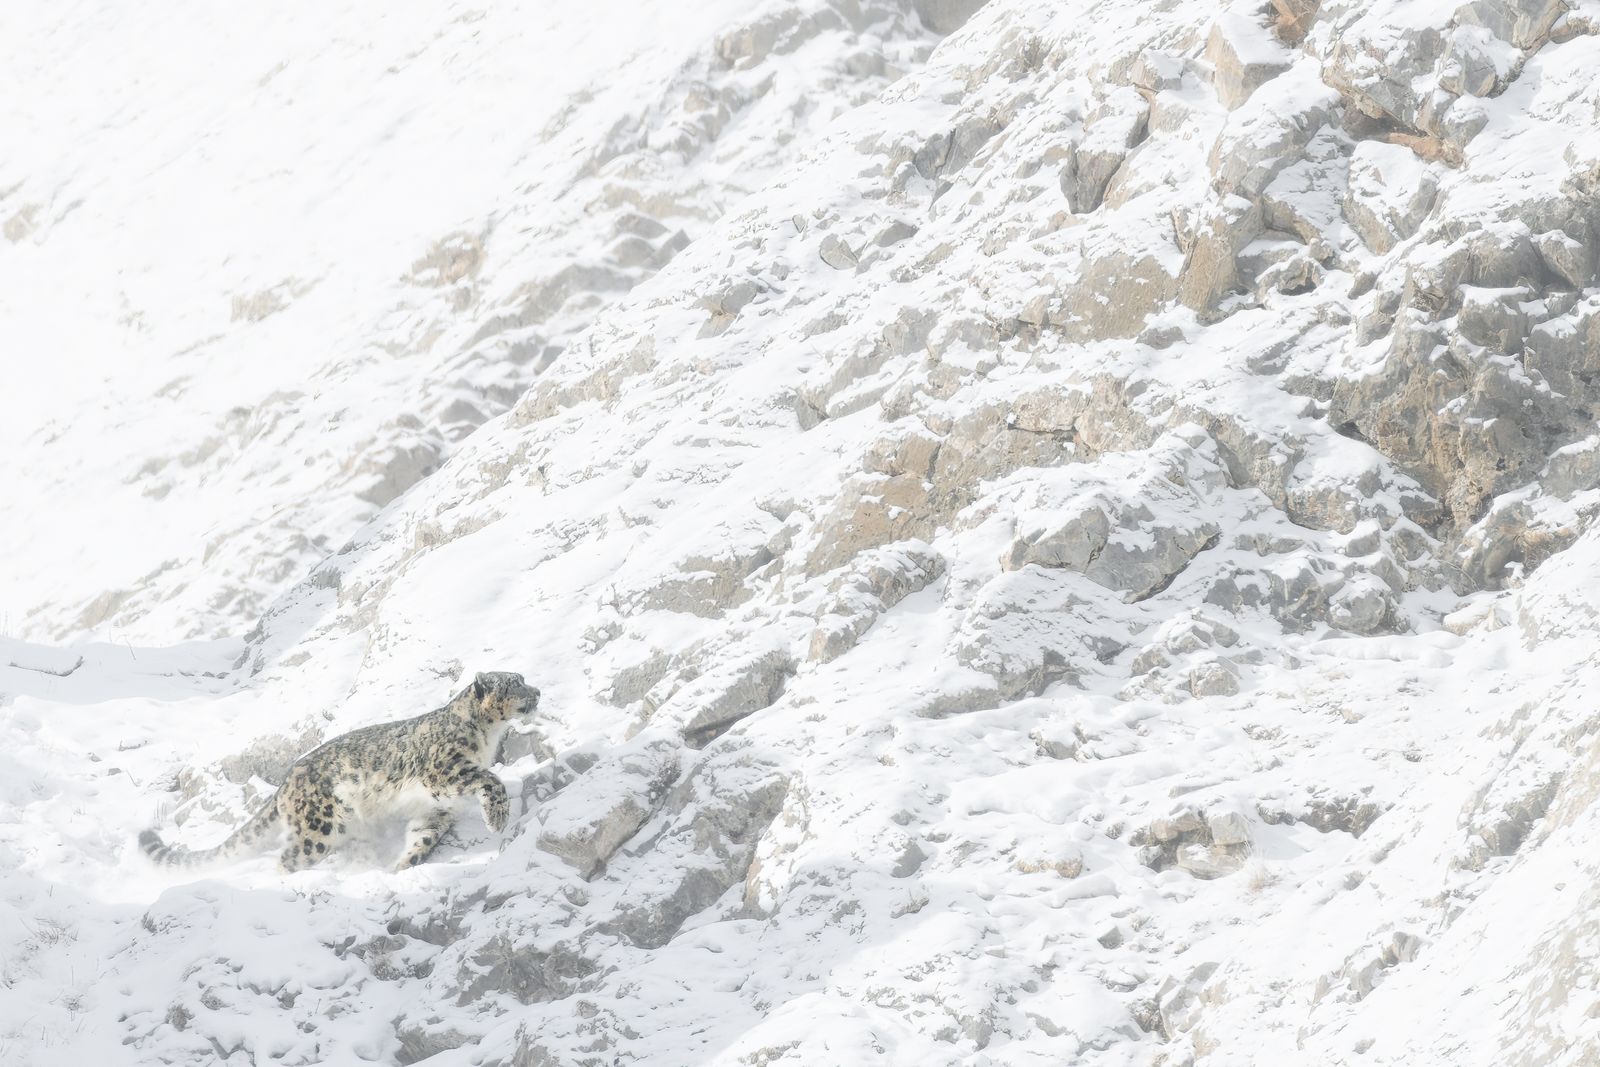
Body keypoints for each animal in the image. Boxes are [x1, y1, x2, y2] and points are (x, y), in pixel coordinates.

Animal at [139, 671, 540, 872]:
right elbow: (490, 779)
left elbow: (422, 839)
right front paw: (497, 819)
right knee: (289, 858)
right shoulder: (444, 770)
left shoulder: (433, 810)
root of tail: (287, 780)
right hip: (319, 827)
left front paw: (400, 867)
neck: (487, 737)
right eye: (514, 682)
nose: (537, 691)